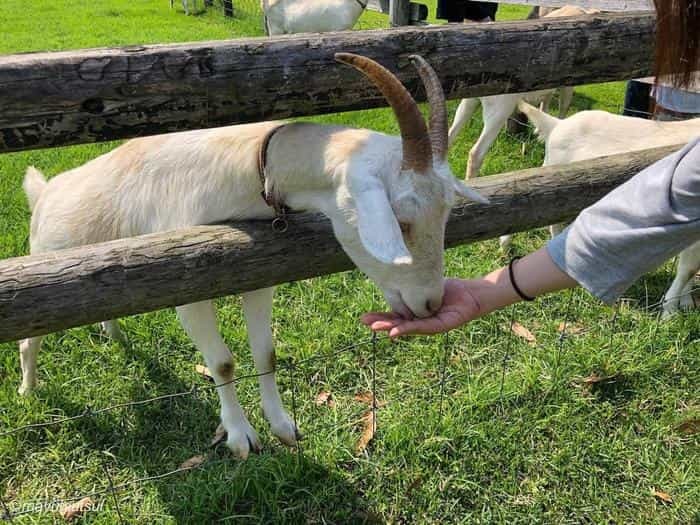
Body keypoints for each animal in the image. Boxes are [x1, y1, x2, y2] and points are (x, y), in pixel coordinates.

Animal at [17, 51, 486, 456]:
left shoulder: (257, 278)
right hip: (47, 280)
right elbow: (222, 363)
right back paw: (28, 390)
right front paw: (241, 436)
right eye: (401, 221)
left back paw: (114, 338)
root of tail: (45, 192)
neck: (250, 166)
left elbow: (266, 353)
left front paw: (281, 425)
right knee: (29, 340)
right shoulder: (188, 290)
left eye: (446, 212)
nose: (431, 303)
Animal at [452, 4, 600, 180]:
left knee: (449, 134)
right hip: (500, 107)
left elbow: (546, 103)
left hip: (470, 100)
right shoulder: (568, 84)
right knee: (476, 153)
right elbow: (563, 109)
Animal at [504, 101, 700, 318]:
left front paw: (686, 303)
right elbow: (689, 268)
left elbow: (691, 266)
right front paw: (670, 312)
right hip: (555, 178)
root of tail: (558, 124)